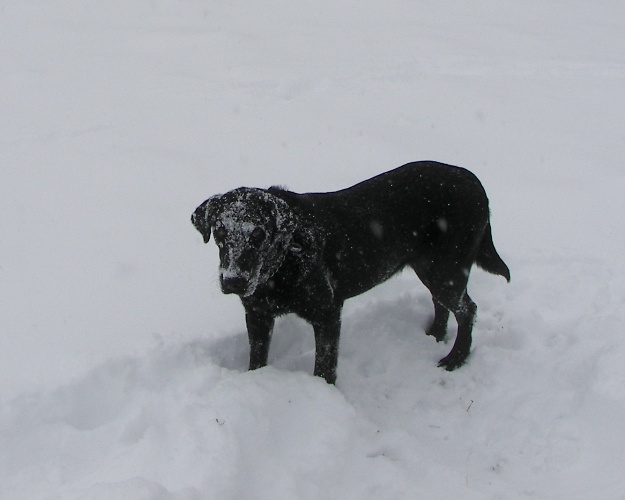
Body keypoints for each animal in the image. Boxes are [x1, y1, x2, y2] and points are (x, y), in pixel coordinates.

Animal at [193, 162, 510, 384]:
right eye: (220, 232)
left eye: (258, 233)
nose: (234, 281)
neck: (283, 263)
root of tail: (474, 181)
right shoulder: (257, 314)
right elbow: (257, 357)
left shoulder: (327, 312)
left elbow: (324, 366)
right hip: (430, 267)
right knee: (443, 304)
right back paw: (433, 335)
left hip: (445, 268)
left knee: (467, 309)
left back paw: (455, 358)